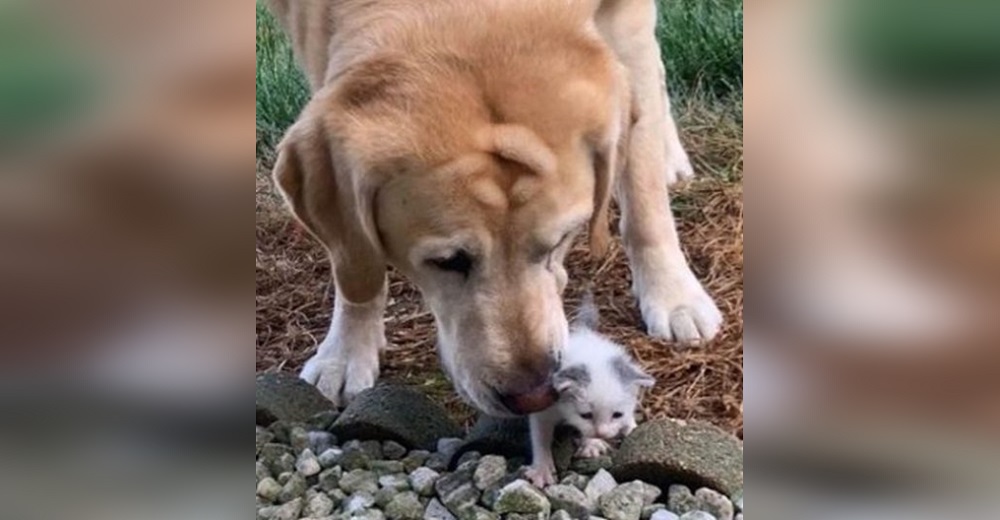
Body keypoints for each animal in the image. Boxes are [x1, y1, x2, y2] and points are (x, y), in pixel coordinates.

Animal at [266, 0, 720, 416]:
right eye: (447, 261)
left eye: (560, 241)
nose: (534, 396)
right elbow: (353, 260)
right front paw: (346, 351)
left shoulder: (625, 19)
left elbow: (643, 197)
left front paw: (673, 294)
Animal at [524, 296, 656, 488]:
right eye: (586, 415)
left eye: (616, 414)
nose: (602, 433)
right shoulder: (545, 403)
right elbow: (540, 436)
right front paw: (541, 469)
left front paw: (592, 443)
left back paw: (630, 426)